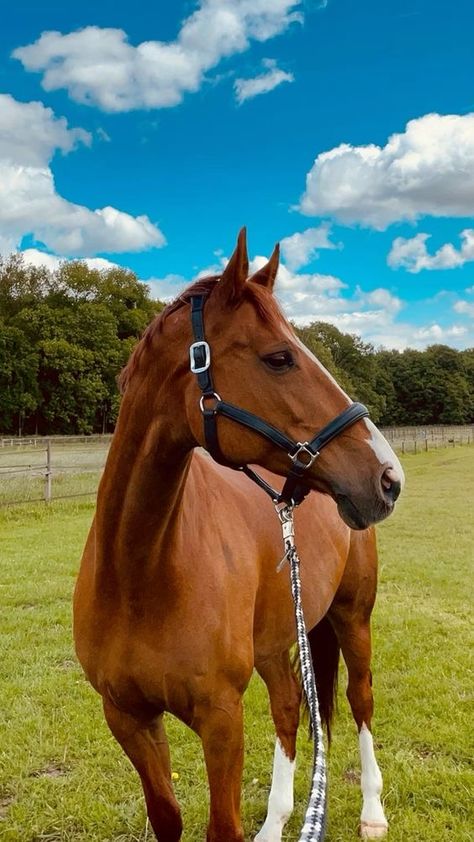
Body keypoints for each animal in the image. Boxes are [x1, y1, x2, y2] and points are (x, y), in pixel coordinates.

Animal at [73, 230, 404, 840]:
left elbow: (220, 826)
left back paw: (372, 812)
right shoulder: (128, 716)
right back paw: (276, 823)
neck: (140, 573)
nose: (389, 477)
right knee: (291, 707)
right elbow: (168, 817)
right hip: (277, 639)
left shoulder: (221, 719)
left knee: (360, 697)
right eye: (279, 358)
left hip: (352, 617)